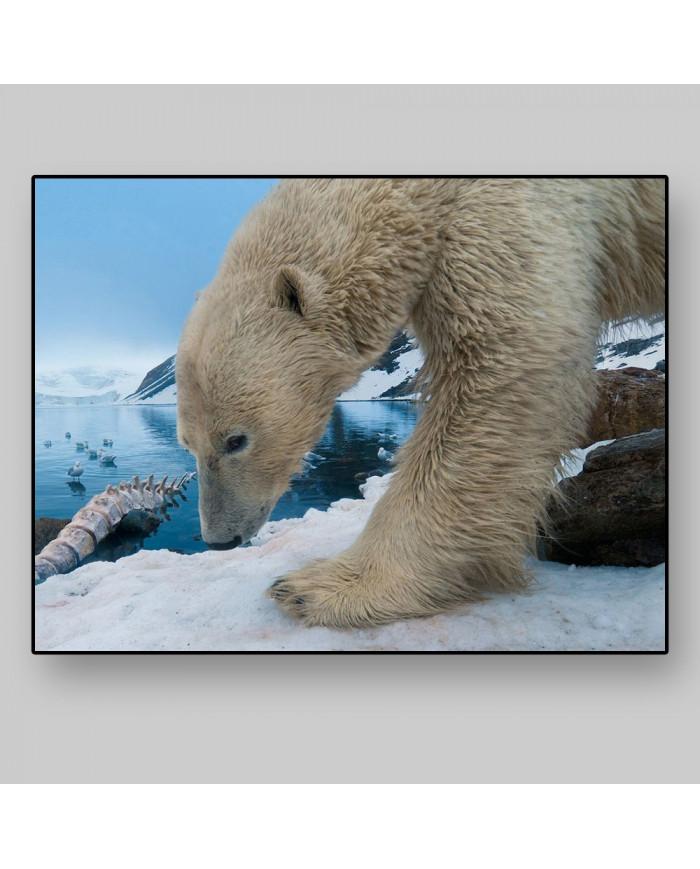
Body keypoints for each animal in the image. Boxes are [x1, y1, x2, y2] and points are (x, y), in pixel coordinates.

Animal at [176, 178, 665, 628]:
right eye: (188, 444)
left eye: (236, 440)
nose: (219, 540)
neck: (419, 191)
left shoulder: (509, 209)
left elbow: (504, 364)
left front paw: (321, 588)